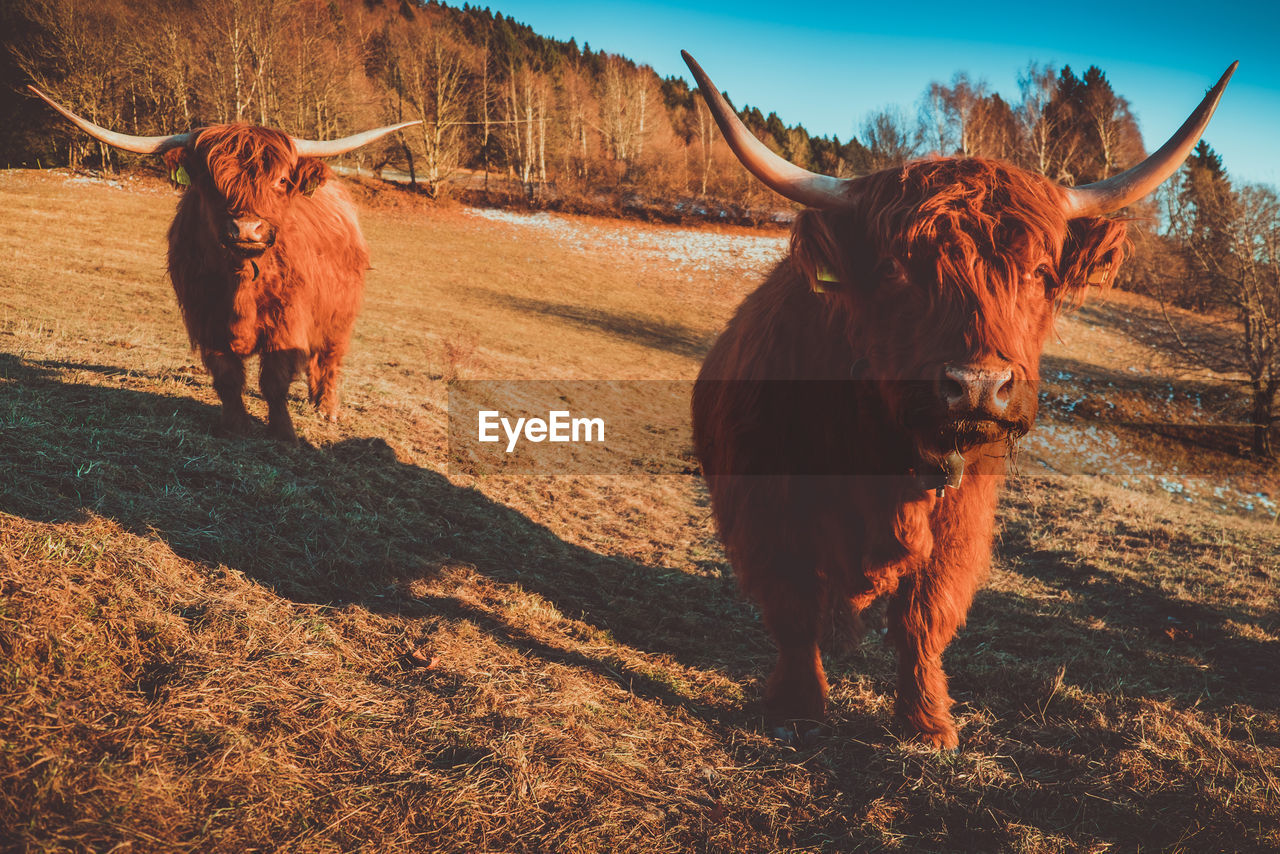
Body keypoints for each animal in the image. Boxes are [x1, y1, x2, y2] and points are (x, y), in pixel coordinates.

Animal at [31, 87, 419, 445]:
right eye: (212, 181)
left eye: (281, 180)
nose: (246, 229)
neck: (241, 280)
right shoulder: (206, 318)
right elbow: (228, 377)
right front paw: (235, 427)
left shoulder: (287, 320)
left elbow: (275, 380)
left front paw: (284, 435)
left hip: (340, 315)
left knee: (329, 359)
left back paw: (326, 408)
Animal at [686, 53, 1233, 747]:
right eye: (896, 269)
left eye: (1041, 273)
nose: (976, 386)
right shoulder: (766, 509)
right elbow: (793, 609)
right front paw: (796, 706)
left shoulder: (960, 522)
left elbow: (924, 618)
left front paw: (926, 724)